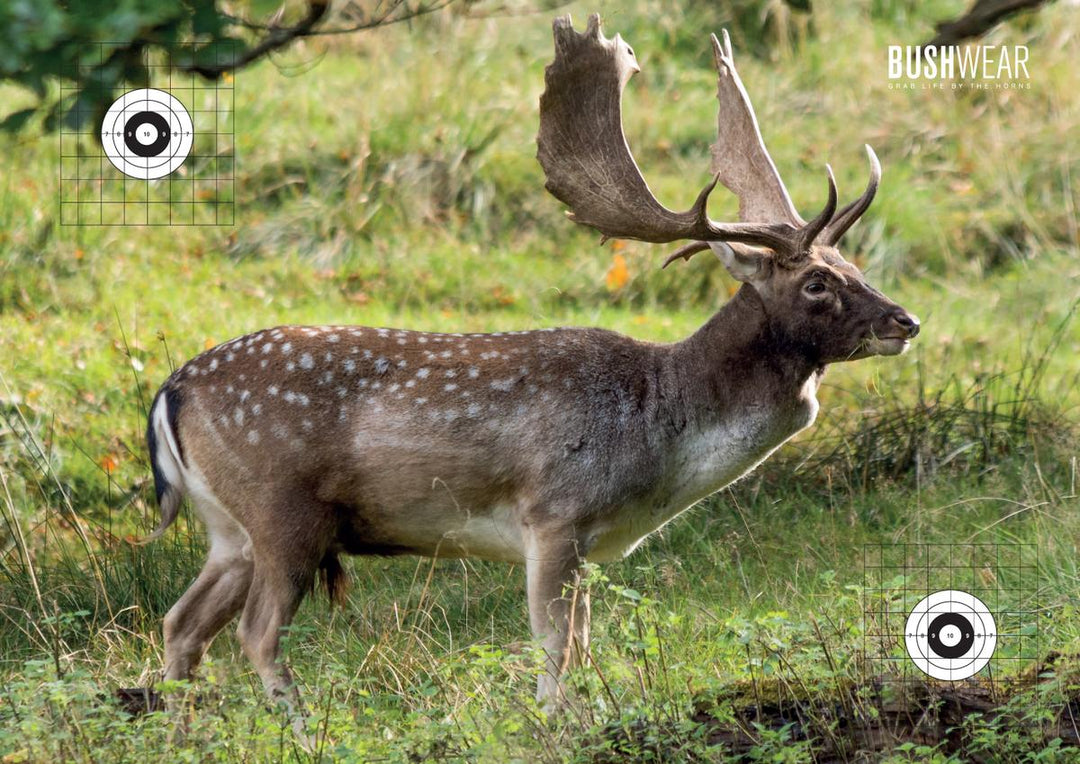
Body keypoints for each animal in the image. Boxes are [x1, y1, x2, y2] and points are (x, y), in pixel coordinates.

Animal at [143, 13, 919, 738]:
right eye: (818, 282)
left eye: (854, 265)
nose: (904, 322)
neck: (662, 431)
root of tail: (169, 392)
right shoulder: (554, 512)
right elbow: (556, 644)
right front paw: (555, 722)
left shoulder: (593, 545)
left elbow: (580, 641)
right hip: (283, 509)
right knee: (254, 633)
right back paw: (304, 732)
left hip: (231, 528)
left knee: (182, 622)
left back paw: (181, 730)